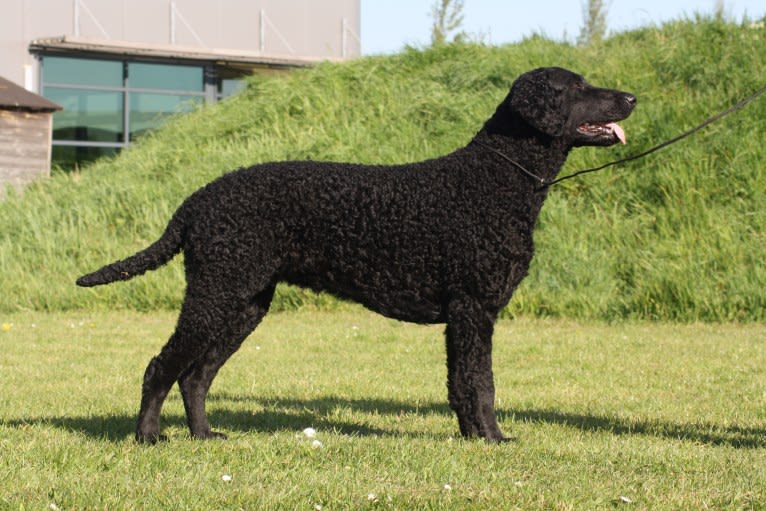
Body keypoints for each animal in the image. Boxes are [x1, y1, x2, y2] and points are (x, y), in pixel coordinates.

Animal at [78, 68, 636, 444]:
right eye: (575, 87)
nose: (631, 96)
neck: (493, 179)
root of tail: (195, 201)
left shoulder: (465, 315)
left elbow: (462, 383)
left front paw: (472, 437)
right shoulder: (473, 308)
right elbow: (482, 383)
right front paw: (493, 439)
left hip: (244, 303)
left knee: (195, 375)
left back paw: (204, 435)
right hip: (216, 293)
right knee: (161, 366)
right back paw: (149, 437)